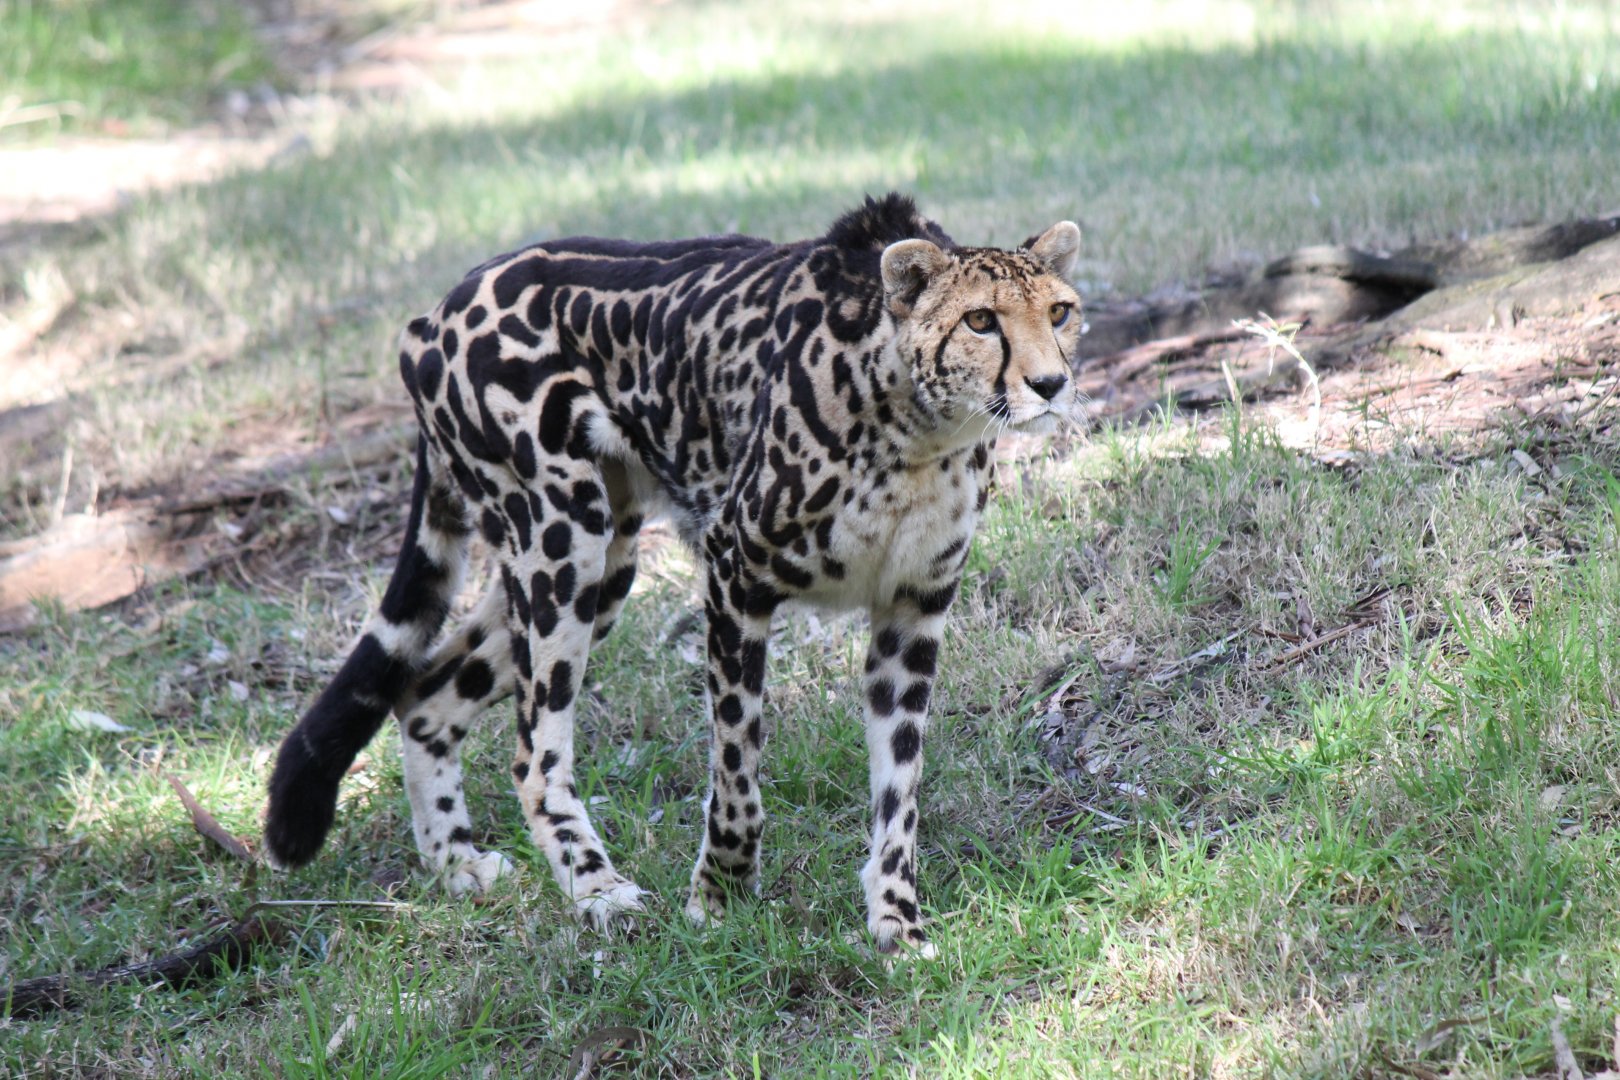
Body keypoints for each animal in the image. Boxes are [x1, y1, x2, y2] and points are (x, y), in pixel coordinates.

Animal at [264, 193, 1084, 955]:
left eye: (1060, 311)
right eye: (980, 321)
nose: (1051, 384)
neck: (920, 431)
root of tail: (434, 312)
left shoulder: (913, 610)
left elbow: (900, 790)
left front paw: (896, 922)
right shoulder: (734, 576)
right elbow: (738, 769)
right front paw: (720, 894)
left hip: (602, 565)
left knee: (427, 694)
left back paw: (456, 866)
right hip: (563, 536)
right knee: (532, 751)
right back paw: (596, 890)